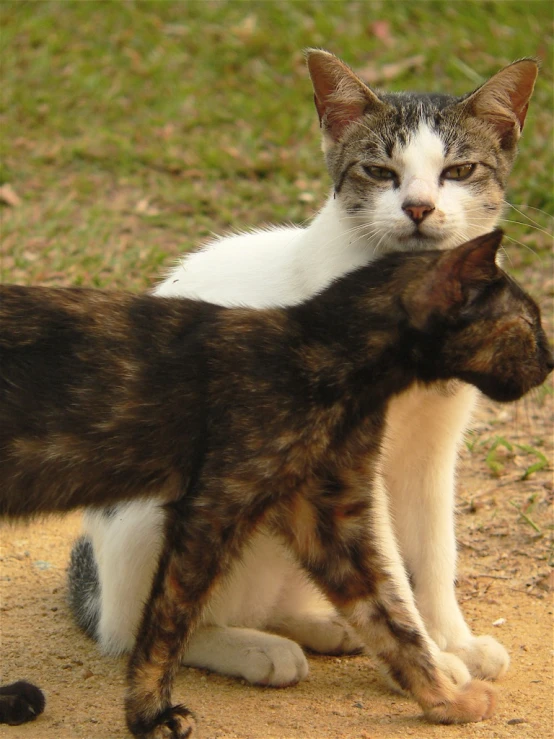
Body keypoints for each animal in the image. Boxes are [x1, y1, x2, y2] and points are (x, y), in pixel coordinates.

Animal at [2, 230, 548, 736]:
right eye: (529, 321)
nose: (551, 361)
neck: (321, 353)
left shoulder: (327, 516)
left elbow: (391, 615)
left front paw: (444, 699)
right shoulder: (212, 510)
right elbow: (167, 623)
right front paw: (148, 714)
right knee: (136, 625)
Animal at [68, 50, 536, 688]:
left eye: (459, 170)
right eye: (380, 171)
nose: (418, 208)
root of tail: (99, 591)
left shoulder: (433, 452)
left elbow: (436, 551)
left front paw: (452, 642)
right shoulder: (349, 466)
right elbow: (391, 563)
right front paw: (433, 663)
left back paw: (327, 628)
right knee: (147, 628)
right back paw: (253, 649)